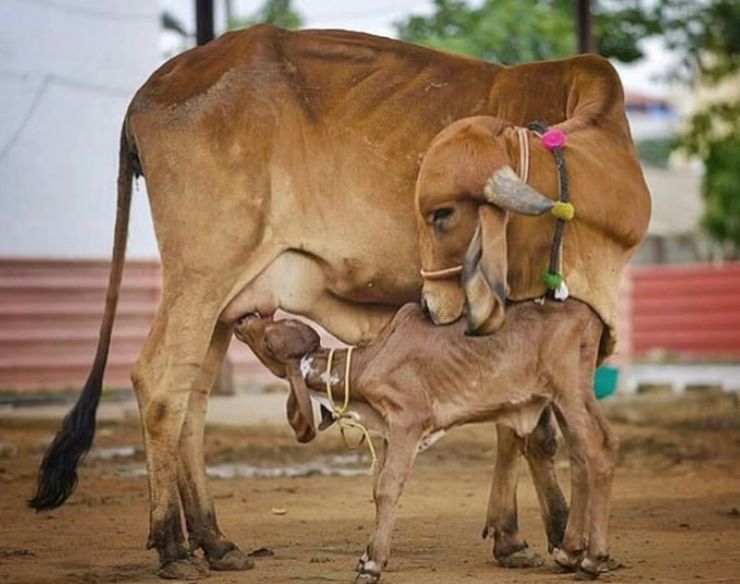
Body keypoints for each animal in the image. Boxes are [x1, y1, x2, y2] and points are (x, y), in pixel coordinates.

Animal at [233, 298, 619, 583]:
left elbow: (387, 487)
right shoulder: (390, 431)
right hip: (566, 398)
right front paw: (366, 554)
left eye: (269, 336)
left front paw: (373, 564)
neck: (369, 361)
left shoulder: (406, 422)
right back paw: (570, 551)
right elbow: (378, 484)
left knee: (596, 450)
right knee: (585, 454)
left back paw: (591, 559)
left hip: (568, 391)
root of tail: (589, 314)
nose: (242, 318)